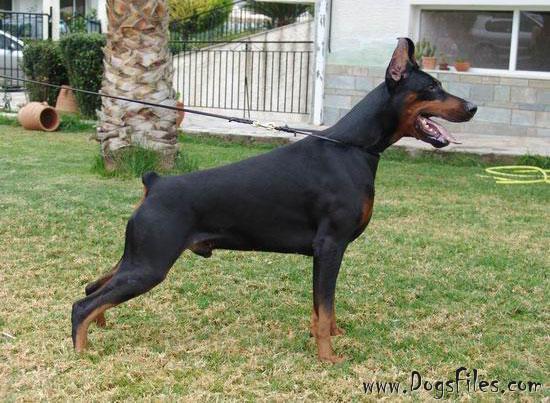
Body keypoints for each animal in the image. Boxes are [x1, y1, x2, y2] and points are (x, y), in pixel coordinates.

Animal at [72, 38, 477, 363]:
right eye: (433, 87)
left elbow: (322, 310)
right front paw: (328, 358)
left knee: (94, 286)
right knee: (82, 303)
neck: (351, 148)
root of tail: (154, 183)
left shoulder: (326, 253)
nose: (473, 107)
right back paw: (82, 352)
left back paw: (100, 327)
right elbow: (325, 308)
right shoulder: (330, 246)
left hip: (139, 256)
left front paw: (330, 338)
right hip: (151, 263)